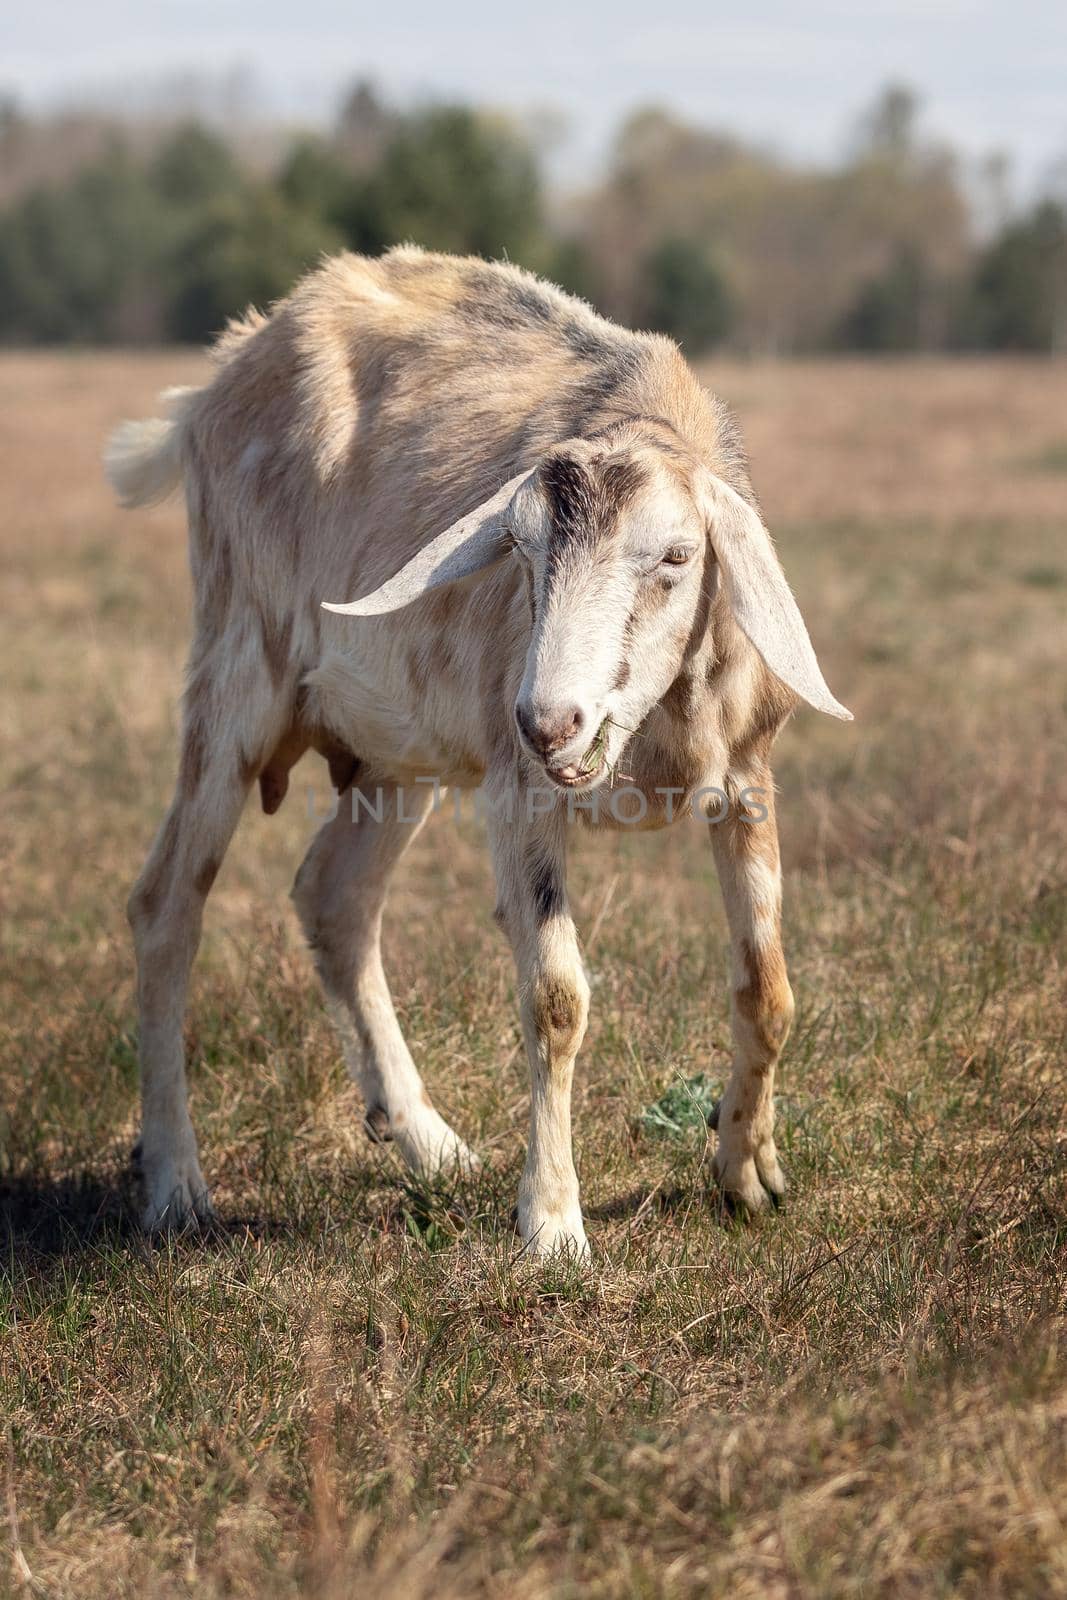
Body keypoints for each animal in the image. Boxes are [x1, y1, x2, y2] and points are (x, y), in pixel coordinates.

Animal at [108, 249, 851, 1254]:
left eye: (675, 558)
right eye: (520, 550)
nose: (552, 720)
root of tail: (213, 385)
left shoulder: (744, 778)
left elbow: (766, 988)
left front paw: (746, 1174)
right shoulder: (519, 791)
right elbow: (556, 997)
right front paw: (552, 1224)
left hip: (392, 751)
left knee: (335, 897)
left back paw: (431, 1145)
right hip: (234, 674)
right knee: (166, 906)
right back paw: (176, 1186)